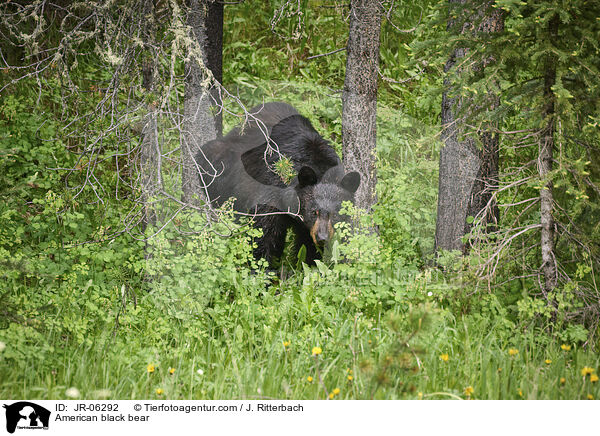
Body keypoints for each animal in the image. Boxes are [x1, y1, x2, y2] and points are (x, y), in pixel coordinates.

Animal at [197, 102, 358, 266]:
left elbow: (306, 245)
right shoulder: (272, 189)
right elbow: (265, 231)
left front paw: (309, 263)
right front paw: (263, 266)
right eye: (314, 212)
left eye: (336, 214)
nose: (322, 238)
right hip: (220, 164)